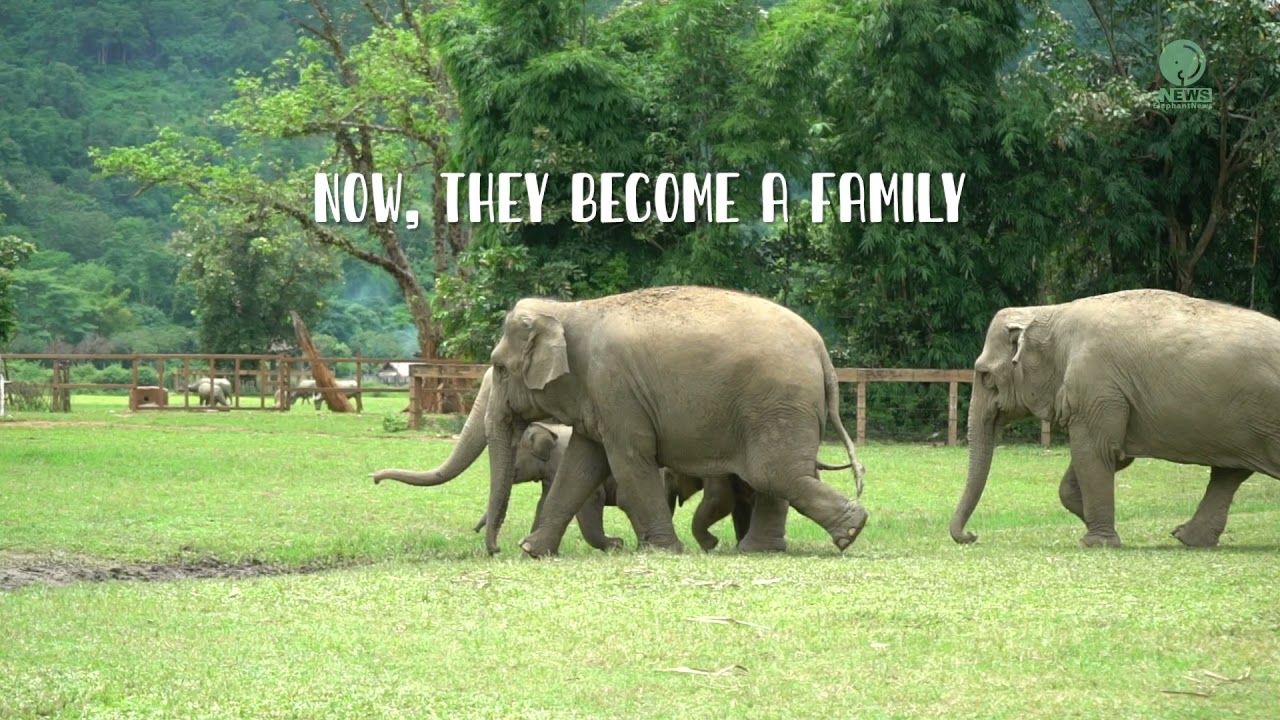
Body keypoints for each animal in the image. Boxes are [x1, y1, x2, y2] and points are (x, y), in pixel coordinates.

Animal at [478, 285, 868, 558]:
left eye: (499, 367)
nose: (495, 549)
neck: (571, 310)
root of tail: (821, 351)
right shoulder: (601, 399)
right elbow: (582, 464)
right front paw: (532, 550)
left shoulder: (616, 389)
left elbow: (630, 461)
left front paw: (662, 550)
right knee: (777, 477)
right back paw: (761, 549)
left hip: (776, 402)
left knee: (774, 473)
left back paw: (850, 531)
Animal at [951, 289, 1280, 549]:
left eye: (985, 376)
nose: (971, 535)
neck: (1050, 312)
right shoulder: (1106, 396)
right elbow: (1104, 459)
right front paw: (1099, 528)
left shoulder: (1096, 387)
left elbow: (1095, 453)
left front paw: (1096, 542)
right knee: (1228, 474)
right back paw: (1186, 538)